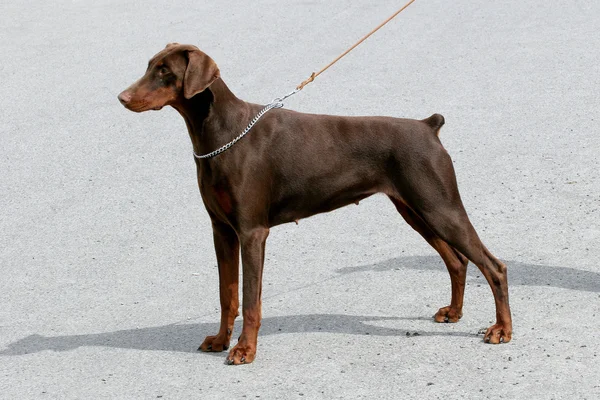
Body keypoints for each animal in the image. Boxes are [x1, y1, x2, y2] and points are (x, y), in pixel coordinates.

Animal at [117, 43, 510, 366]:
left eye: (165, 71)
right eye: (149, 65)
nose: (121, 97)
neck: (223, 133)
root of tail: (428, 127)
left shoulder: (252, 232)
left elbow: (250, 298)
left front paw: (244, 350)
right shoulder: (222, 230)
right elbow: (227, 294)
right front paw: (220, 340)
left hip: (439, 206)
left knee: (493, 266)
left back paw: (502, 330)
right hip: (415, 209)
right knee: (457, 261)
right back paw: (455, 312)